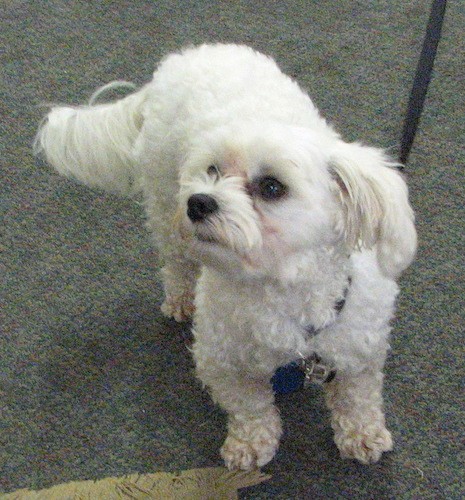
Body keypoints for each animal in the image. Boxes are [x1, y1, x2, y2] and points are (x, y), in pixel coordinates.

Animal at [34, 43, 416, 468]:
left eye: (272, 186)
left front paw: (362, 434)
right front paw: (250, 443)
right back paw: (181, 298)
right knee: (176, 263)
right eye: (212, 170)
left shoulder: (361, 349)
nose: (198, 202)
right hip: (165, 204)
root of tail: (179, 60)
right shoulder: (219, 358)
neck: (283, 290)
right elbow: (250, 405)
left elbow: (357, 396)